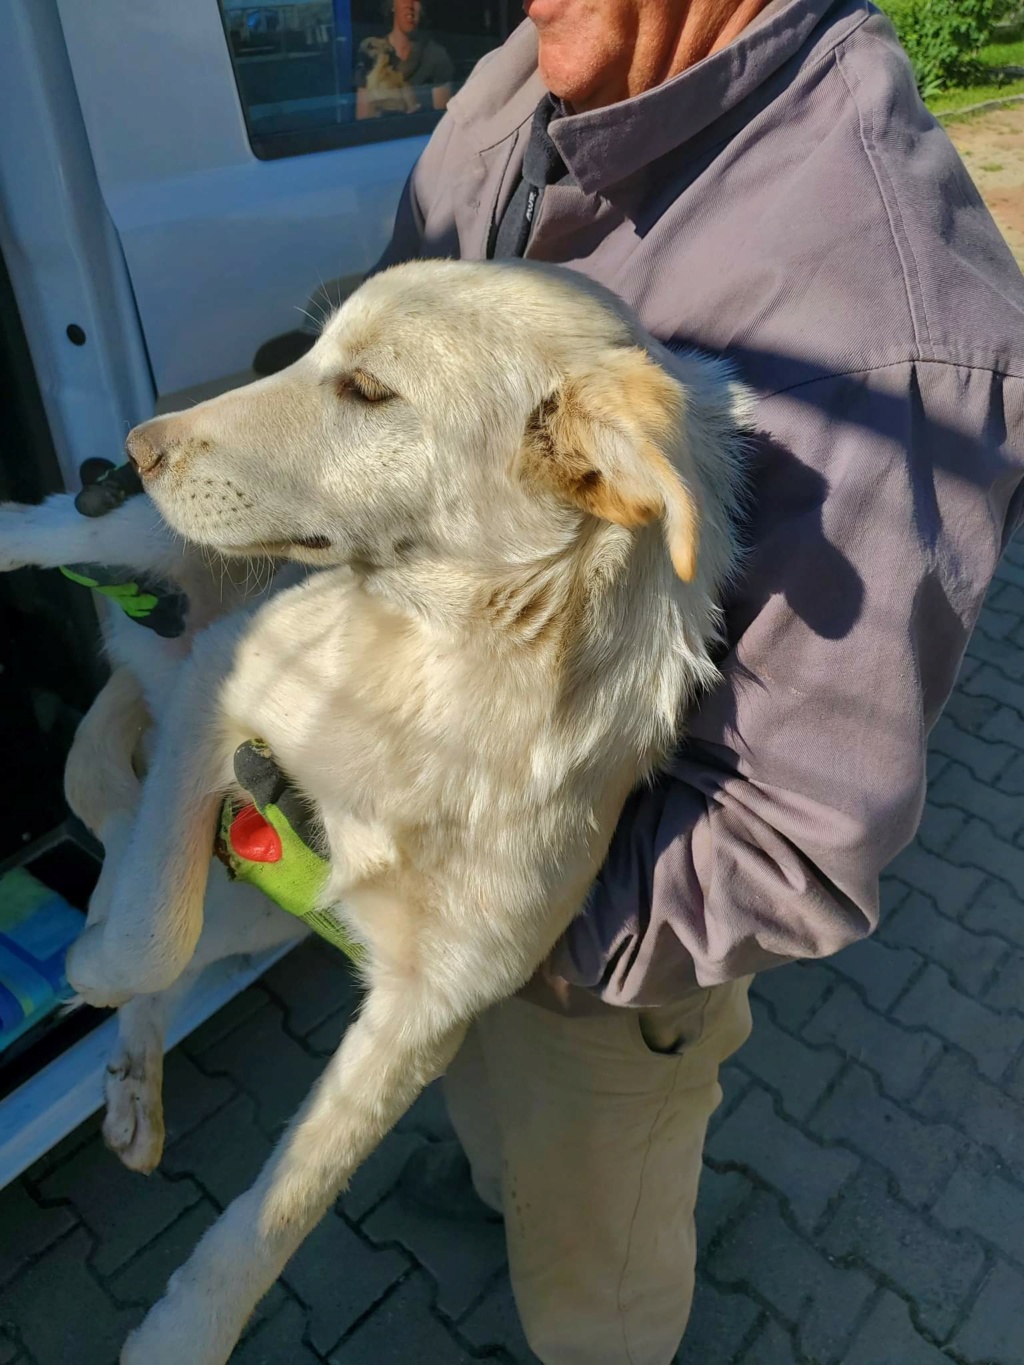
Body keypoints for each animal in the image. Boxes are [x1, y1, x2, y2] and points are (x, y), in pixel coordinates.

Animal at [2, 260, 753, 1359]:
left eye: (366, 390)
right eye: (309, 351)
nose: (140, 444)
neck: (443, 671)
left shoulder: (427, 1006)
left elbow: (278, 1211)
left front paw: (184, 1334)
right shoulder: (224, 682)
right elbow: (144, 932)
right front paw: (92, 956)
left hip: (261, 904)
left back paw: (135, 1083)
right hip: (142, 560)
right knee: (50, 529)